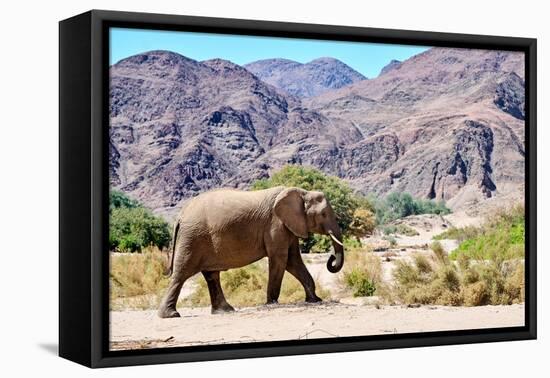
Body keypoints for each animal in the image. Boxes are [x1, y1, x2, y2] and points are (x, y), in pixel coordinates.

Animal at [157, 185, 344, 318]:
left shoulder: (287, 227)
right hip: (192, 238)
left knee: (211, 275)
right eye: (324, 214)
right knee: (182, 273)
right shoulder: (276, 224)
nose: (331, 259)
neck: (302, 192)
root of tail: (180, 216)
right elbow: (280, 259)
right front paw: (271, 303)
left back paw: (225, 311)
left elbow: (293, 261)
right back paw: (171, 315)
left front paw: (315, 300)